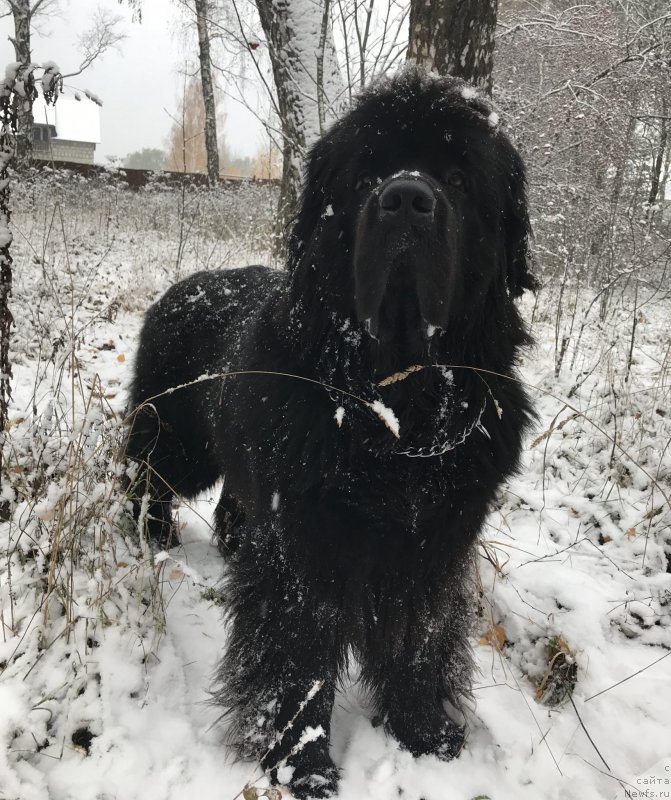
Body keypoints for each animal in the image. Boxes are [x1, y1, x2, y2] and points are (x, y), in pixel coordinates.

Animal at [124, 69, 536, 800]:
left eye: (460, 178)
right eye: (368, 172)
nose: (406, 199)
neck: (395, 410)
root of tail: (181, 286)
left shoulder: (435, 546)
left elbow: (420, 639)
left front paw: (425, 732)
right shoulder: (305, 547)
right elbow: (301, 652)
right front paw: (303, 761)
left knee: (231, 506)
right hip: (176, 440)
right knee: (143, 475)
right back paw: (150, 536)